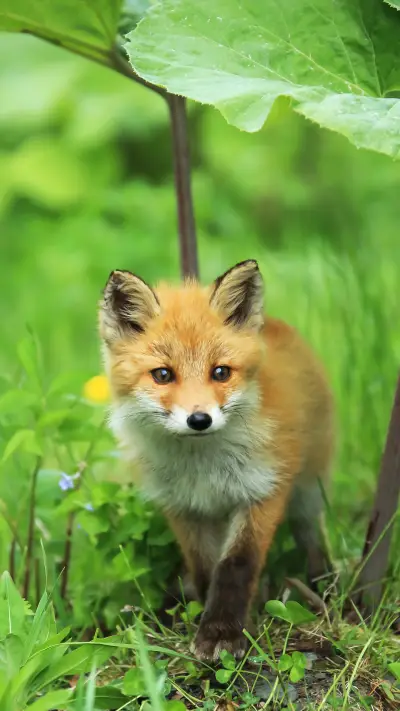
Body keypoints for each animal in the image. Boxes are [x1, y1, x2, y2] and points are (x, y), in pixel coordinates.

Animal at [99, 260, 334, 661]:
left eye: (220, 372)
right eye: (163, 374)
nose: (199, 419)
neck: (204, 471)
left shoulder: (263, 491)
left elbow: (236, 566)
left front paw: (223, 632)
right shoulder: (184, 507)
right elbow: (206, 569)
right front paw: (213, 621)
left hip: (306, 494)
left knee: (312, 539)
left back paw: (324, 588)